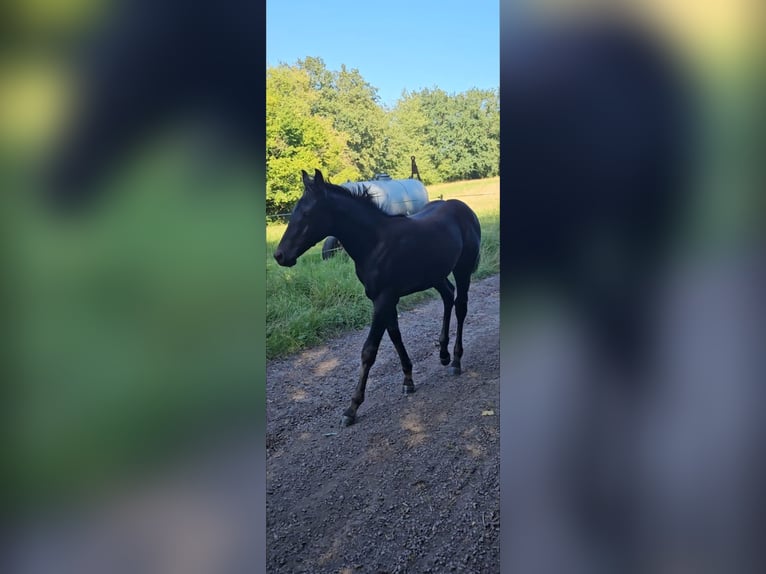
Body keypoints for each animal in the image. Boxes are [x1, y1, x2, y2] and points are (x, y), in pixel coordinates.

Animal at [274, 169, 480, 426]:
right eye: (293, 212)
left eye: (307, 214)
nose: (280, 255)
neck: (375, 244)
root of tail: (466, 209)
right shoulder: (384, 300)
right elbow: (395, 336)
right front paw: (408, 380)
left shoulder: (383, 300)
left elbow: (369, 350)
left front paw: (352, 408)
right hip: (436, 275)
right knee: (448, 296)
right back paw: (442, 354)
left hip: (462, 269)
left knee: (460, 306)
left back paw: (455, 361)